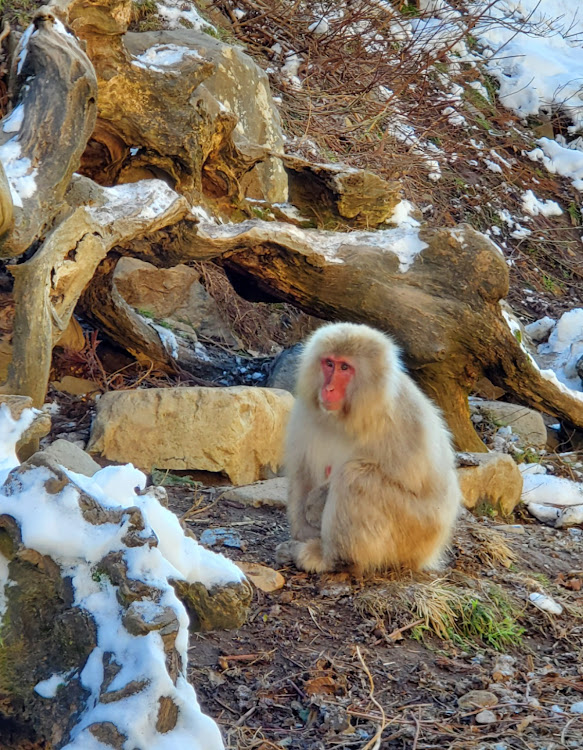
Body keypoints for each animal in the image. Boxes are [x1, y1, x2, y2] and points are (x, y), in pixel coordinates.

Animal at [276, 324, 464, 576]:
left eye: (345, 367)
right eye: (329, 363)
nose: (328, 388)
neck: (349, 416)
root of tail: (431, 552)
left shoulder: (406, 421)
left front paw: (315, 506)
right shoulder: (306, 411)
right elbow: (301, 470)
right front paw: (302, 532)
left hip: (416, 534)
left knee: (354, 476)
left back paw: (330, 559)